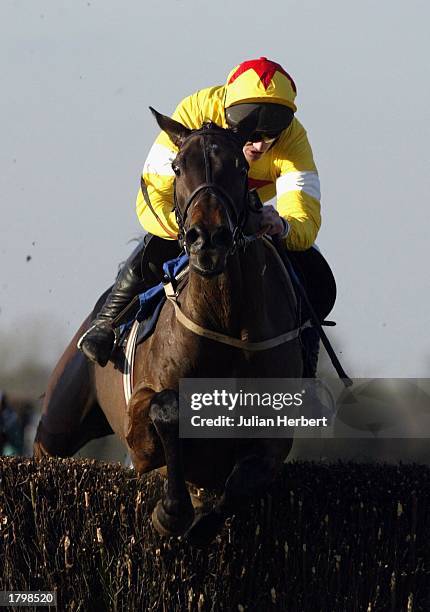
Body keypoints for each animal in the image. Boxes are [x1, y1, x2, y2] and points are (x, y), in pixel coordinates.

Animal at [33, 110, 304, 544]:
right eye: (177, 167)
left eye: (240, 166)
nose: (207, 238)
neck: (225, 322)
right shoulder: (139, 428)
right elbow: (167, 408)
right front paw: (172, 512)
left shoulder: (273, 438)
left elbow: (242, 483)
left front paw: (199, 524)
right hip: (59, 422)